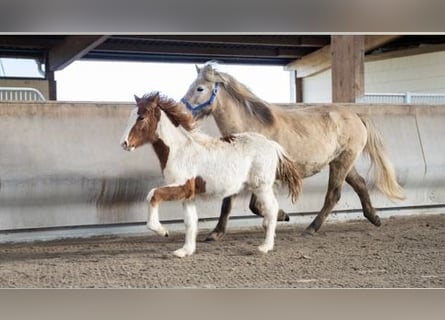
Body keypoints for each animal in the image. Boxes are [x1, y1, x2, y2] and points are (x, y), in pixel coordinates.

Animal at [119, 92, 302, 258]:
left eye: (141, 117)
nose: (124, 143)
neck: (179, 150)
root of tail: (271, 144)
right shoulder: (188, 194)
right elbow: (190, 222)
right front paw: (185, 251)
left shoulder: (183, 186)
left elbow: (153, 194)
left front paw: (162, 231)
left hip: (261, 186)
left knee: (272, 209)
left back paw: (265, 246)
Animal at [181, 62, 406, 240]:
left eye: (200, 88)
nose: (182, 112)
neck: (253, 127)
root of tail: (356, 116)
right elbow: (236, 203)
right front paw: (216, 233)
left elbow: (252, 204)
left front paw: (281, 216)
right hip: (341, 162)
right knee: (360, 184)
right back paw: (374, 218)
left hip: (343, 162)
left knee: (333, 194)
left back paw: (311, 229)